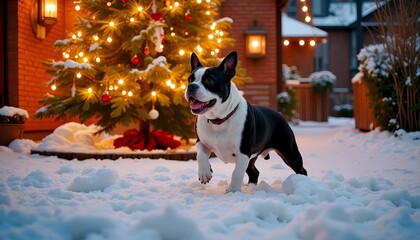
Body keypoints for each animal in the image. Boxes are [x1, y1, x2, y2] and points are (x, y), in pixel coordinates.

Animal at [185, 51, 306, 192]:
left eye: (210, 80)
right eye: (190, 79)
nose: (191, 86)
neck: (219, 119)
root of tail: (279, 115)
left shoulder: (243, 151)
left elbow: (237, 172)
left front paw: (232, 191)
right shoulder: (201, 142)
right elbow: (200, 155)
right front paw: (205, 173)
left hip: (289, 151)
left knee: (301, 169)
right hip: (253, 157)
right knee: (254, 172)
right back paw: (251, 187)